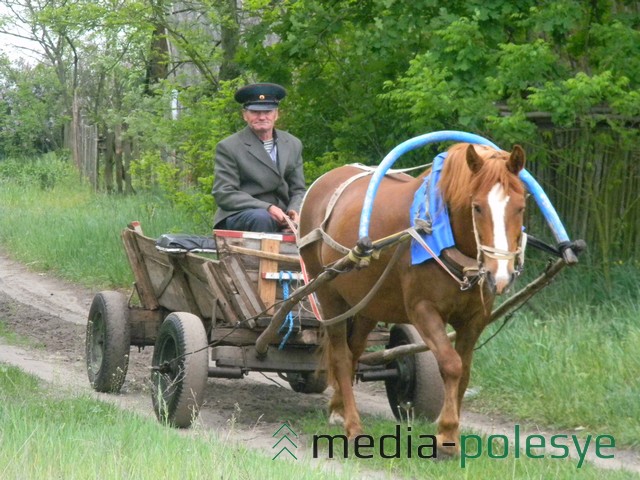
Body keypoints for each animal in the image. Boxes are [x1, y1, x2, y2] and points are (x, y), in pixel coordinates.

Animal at [298, 142, 528, 454]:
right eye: (477, 207)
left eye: (521, 207)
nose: (500, 275)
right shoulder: (423, 310)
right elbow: (451, 365)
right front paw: (445, 435)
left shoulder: (475, 319)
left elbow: (465, 371)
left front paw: (452, 432)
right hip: (328, 294)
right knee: (342, 358)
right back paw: (353, 426)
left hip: (368, 303)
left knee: (353, 352)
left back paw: (339, 409)